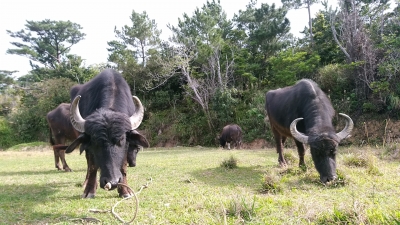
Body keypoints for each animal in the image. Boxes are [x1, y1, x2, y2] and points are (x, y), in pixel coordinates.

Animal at [66, 69, 150, 199]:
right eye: (95, 141)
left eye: (121, 139)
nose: (113, 181)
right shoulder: (89, 147)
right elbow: (93, 166)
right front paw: (89, 191)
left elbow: (123, 166)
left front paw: (125, 190)